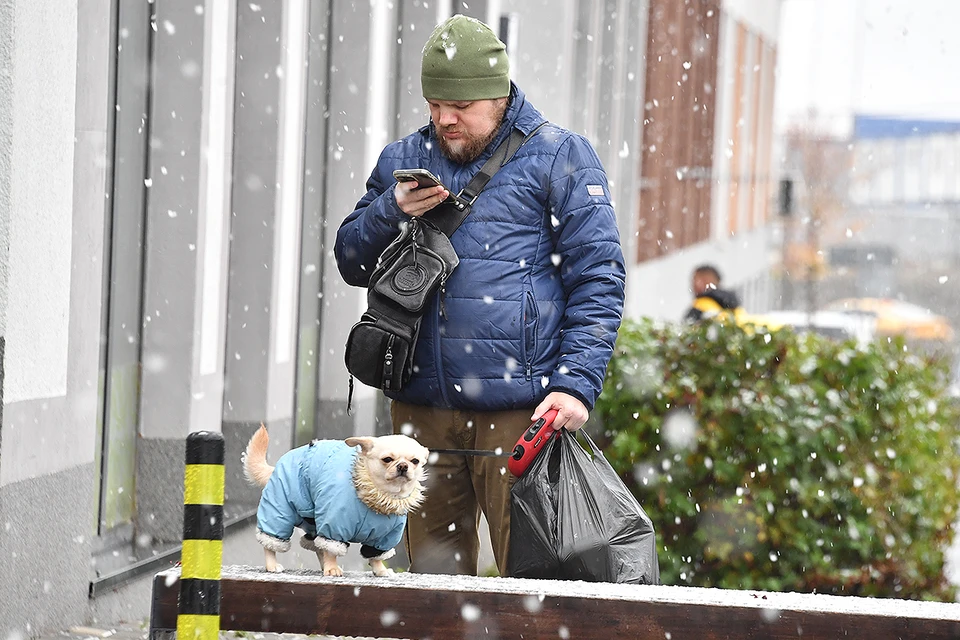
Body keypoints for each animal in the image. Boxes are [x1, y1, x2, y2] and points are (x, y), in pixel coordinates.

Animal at [242, 428, 430, 576]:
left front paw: (380, 570)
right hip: (280, 510)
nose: (403, 466)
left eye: (415, 461)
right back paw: (272, 565)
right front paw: (332, 568)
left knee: (316, 545)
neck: (380, 497)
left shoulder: (384, 538)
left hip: (313, 519)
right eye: (387, 459)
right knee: (271, 541)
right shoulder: (334, 526)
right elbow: (332, 550)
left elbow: (375, 555)